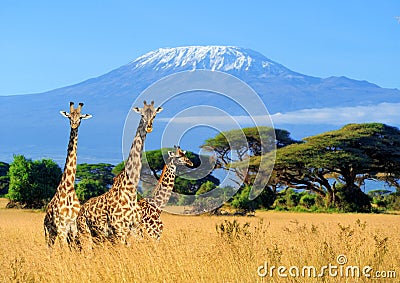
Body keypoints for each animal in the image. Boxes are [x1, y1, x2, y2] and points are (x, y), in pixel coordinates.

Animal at [43, 102, 92, 248]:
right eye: (69, 117)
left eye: (80, 117)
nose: (74, 125)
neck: (69, 188)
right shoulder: (61, 227)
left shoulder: (73, 227)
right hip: (49, 232)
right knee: (49, 249)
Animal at [76, 101, 162, 246]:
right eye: (142, 114)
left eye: (155, 115)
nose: (149, 127)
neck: (130, 192)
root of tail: (80, 211)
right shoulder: (120, 230)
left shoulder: (134, 230)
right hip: (86, 234)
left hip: (99, 236)